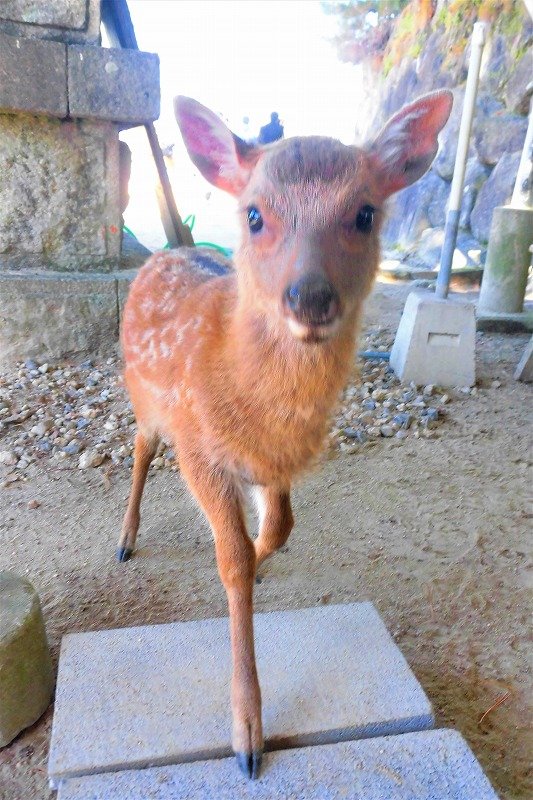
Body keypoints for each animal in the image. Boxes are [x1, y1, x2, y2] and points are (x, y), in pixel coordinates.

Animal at [117, 90, 452, 779]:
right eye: (254, 214)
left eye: (364, 213)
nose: (310, 296)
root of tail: (164, 250)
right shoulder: (200, 447)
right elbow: (234, 559)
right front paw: (248, 735)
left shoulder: (277, 464)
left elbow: (275, 532)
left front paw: (260, 560)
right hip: (145, 396)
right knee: (139, 449)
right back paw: (126, 540)